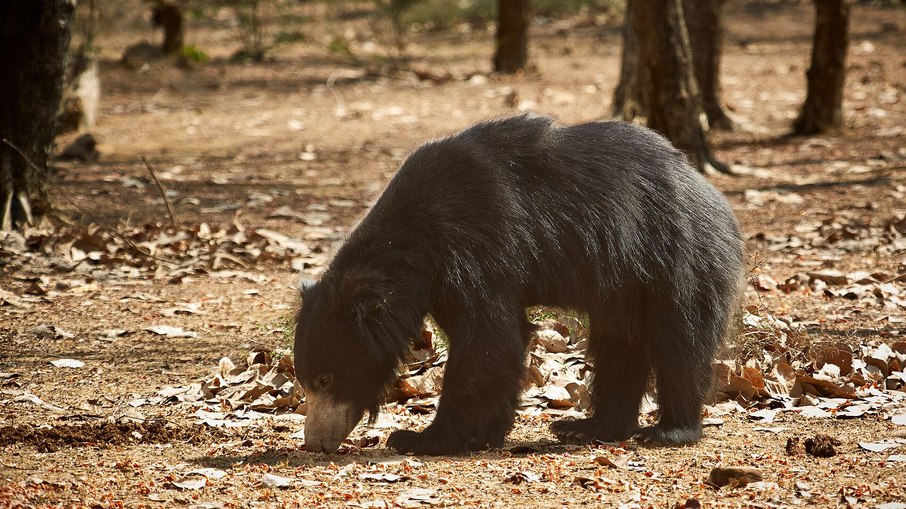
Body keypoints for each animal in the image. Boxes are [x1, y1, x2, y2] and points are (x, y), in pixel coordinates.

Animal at [293, 114, 745, 455]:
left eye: (326, 380)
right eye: (305, 381)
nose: (315, 442)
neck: (411, 244)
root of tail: (712, 195)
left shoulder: (476, 250)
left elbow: (487, 343)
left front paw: (421, 438)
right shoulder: (440, 284)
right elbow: (489, 346)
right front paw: (483, 434)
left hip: (679, 256)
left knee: (680, 341)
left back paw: (668, 431)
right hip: (627, 281)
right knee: (620, 346)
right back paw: (588, 428)